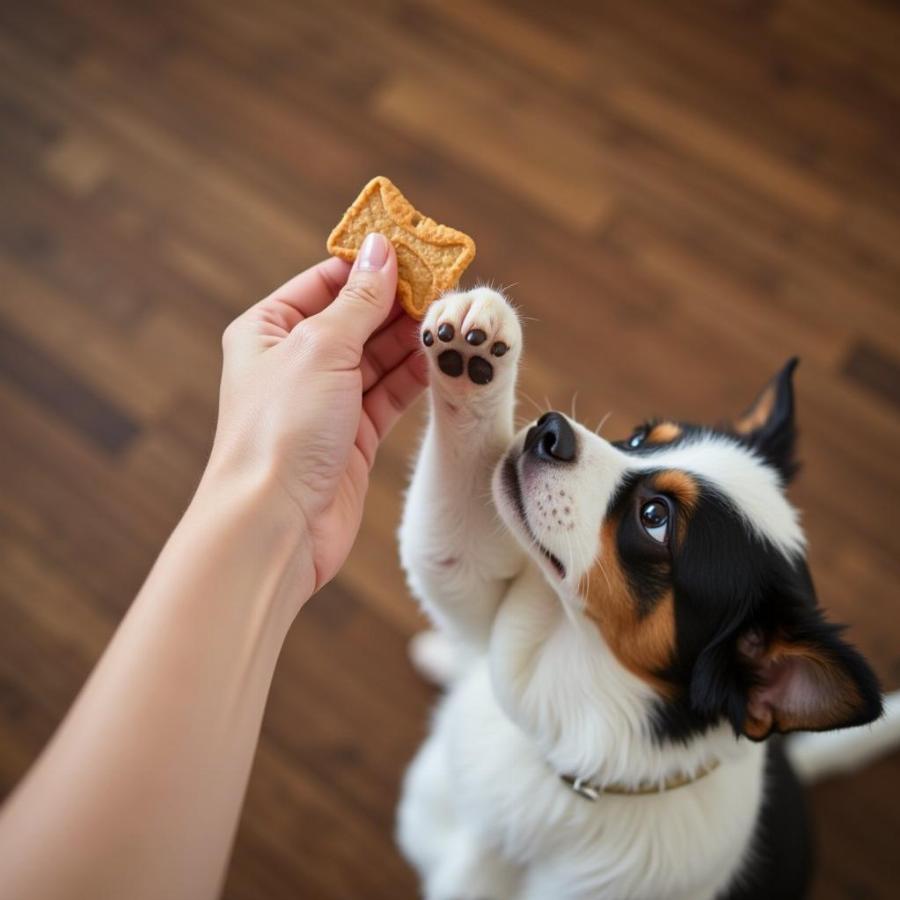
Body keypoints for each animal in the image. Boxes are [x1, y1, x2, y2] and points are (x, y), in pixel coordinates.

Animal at [398, 288, 896, 900]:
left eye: (655, 518)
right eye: (640, 438)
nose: (549, 430)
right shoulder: (476, 582)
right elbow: (451, 552)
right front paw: (473, 353)